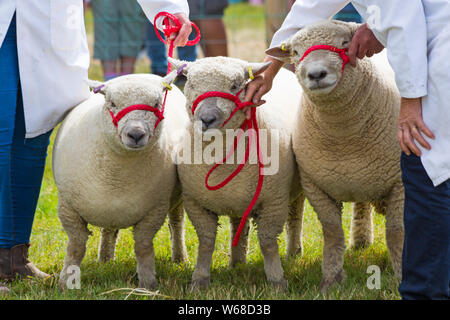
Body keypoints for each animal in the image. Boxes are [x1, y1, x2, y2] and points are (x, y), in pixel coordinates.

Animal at [53, 73, 189, 290]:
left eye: (157, 103)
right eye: (113, 103)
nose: (136, 134)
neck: (117, 176)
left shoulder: (154, 211)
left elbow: (143, 246)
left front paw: (148, 283)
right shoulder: (68, 209)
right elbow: (75, 246)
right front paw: (66, 282)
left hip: (177, 198)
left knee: (176, 224)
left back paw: (180, 258)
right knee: (109, 230)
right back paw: (105, 259)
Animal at [170, 57, 306, 290]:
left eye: (235, 86)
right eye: (192, 84)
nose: (206, 118)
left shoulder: (274, 201)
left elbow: (268, 242)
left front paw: (277, 281)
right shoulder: (195, 202)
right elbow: (206, 242)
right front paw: (199, 280)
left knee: (295, 218)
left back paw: (293, 253)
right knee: (238, 224)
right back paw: (237, 262)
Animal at [268, 20, 404, 294]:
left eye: (344, 43)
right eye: (295, 52)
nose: (316, 74)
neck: (345, 138)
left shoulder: (400, 183)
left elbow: (396, 233)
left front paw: (402, 277)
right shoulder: (315, 185)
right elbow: (332, 233)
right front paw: (331, 279)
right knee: (361, 205)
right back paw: (361, 241)